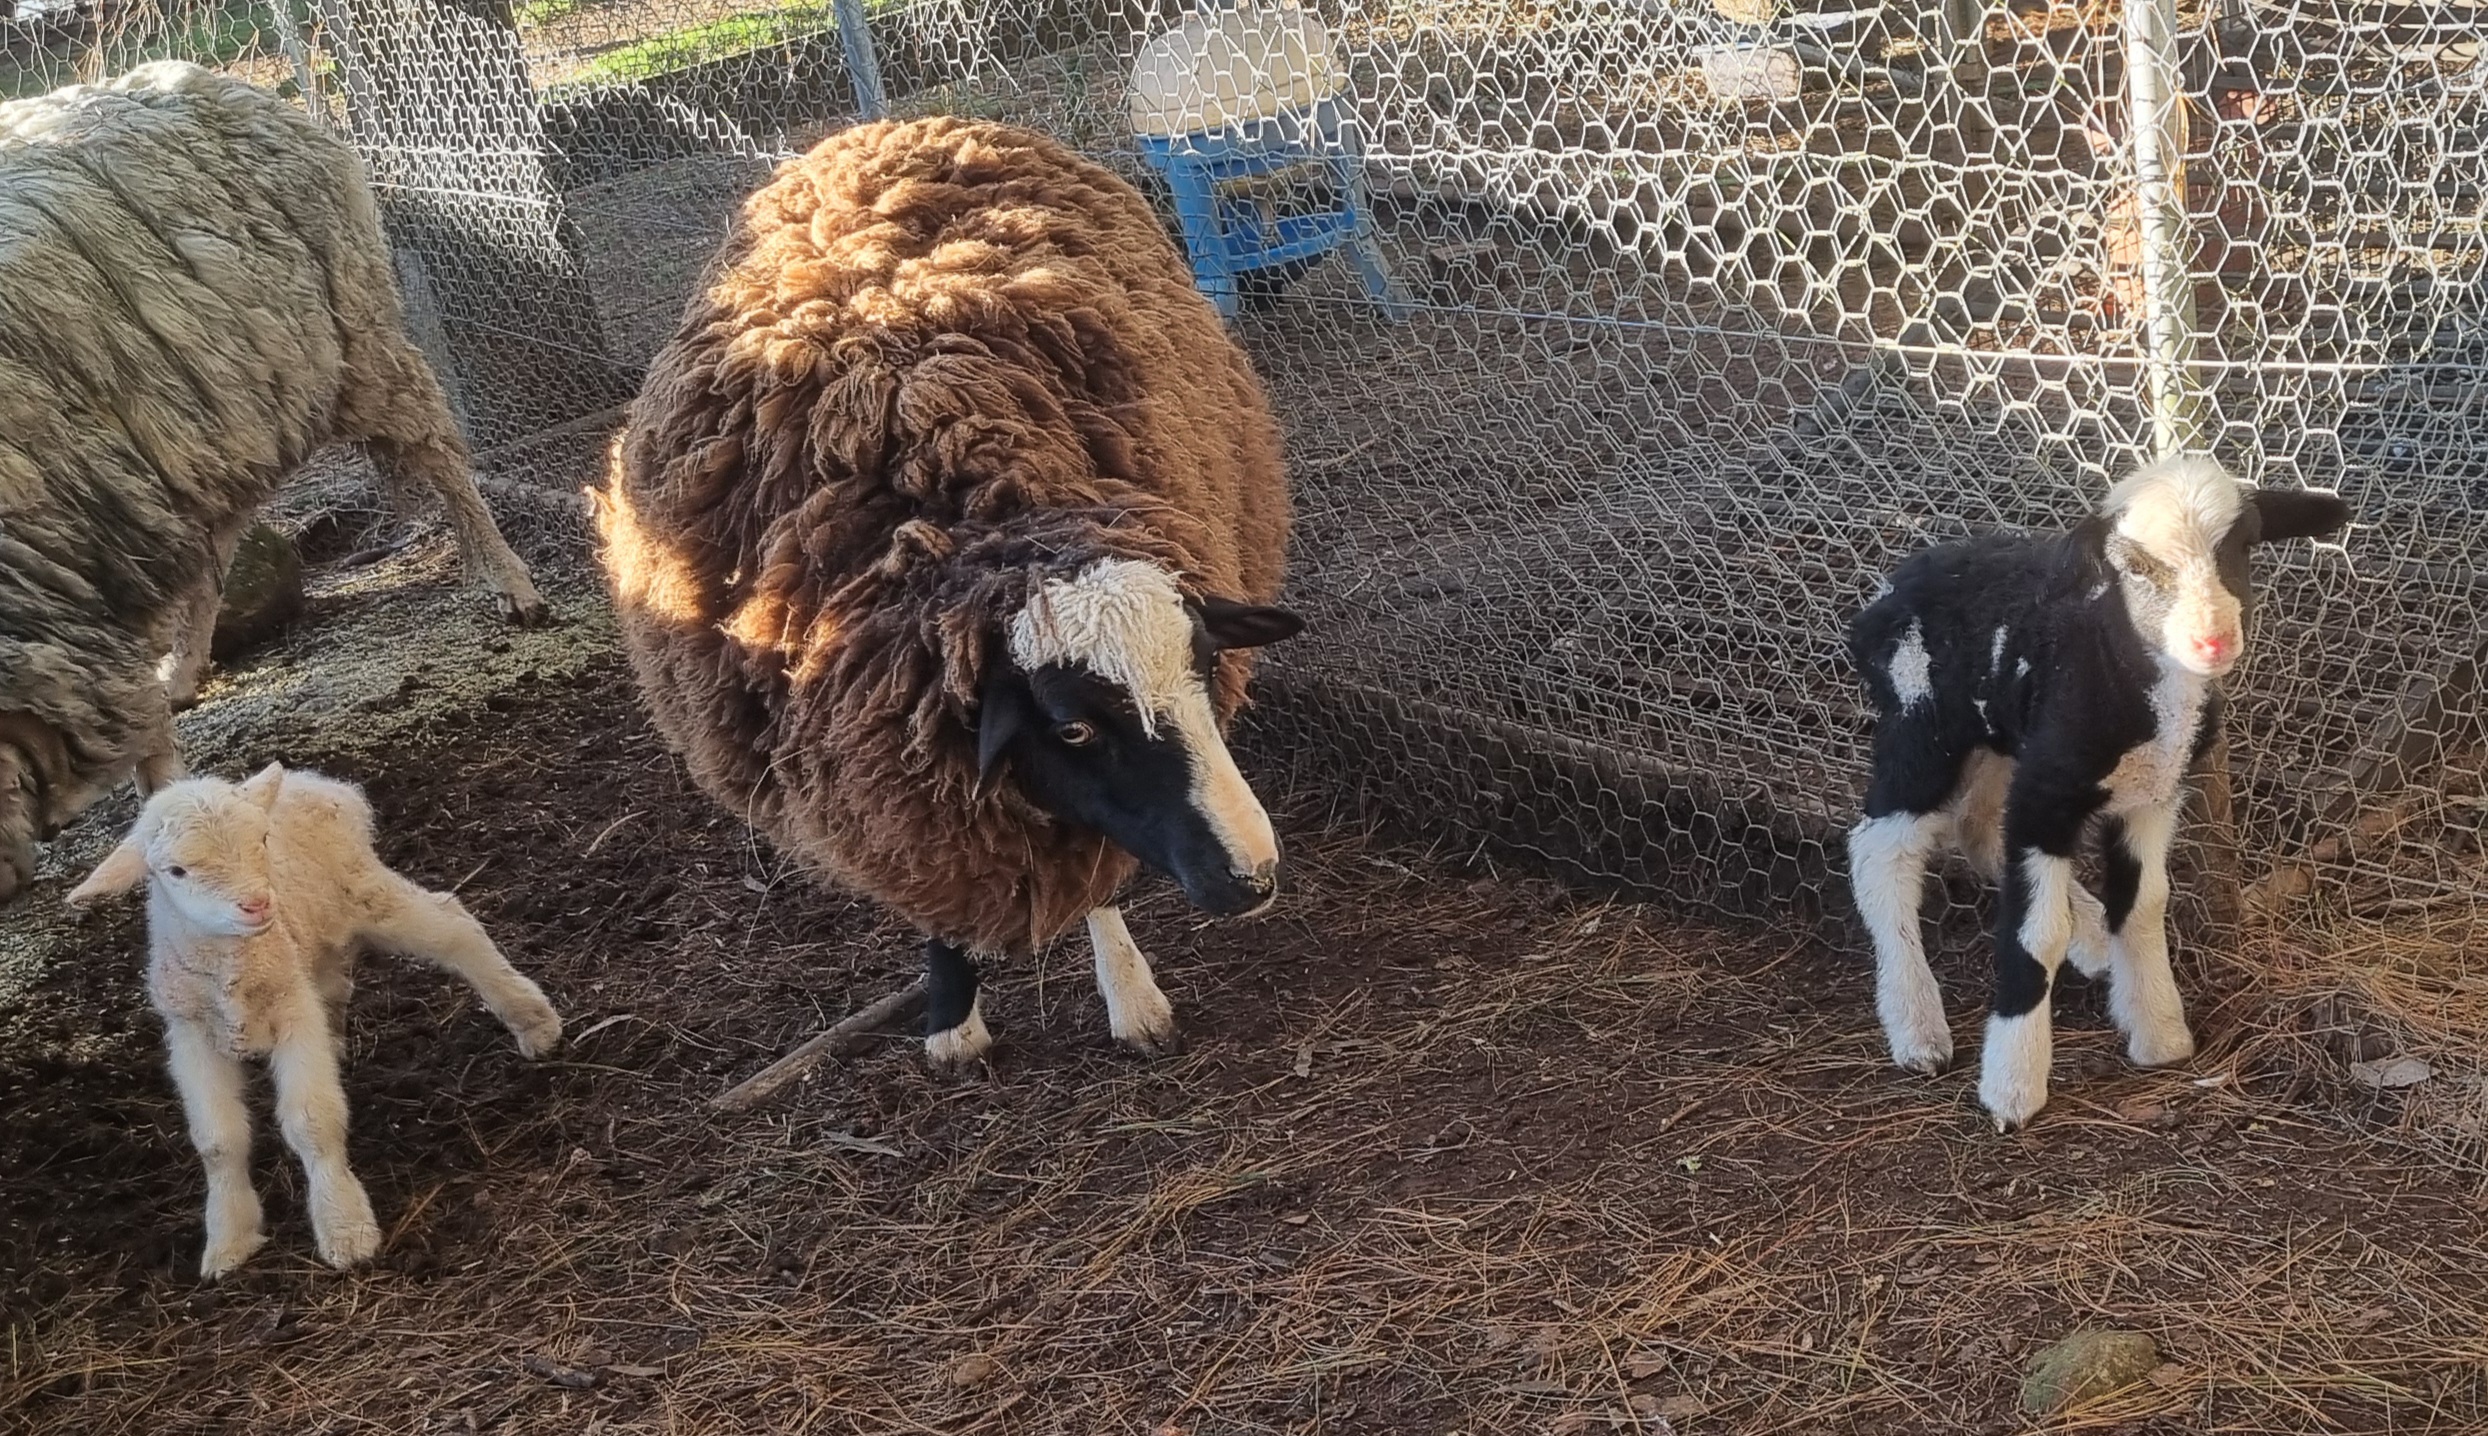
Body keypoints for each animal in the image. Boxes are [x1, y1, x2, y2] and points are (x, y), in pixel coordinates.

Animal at [0, 61, 547, 904]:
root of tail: (217, 81)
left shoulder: (85, 541)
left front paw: (159, 800)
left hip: (351, 333)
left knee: (437, 452)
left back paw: (511, 584)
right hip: (217, 411)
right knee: (217, 545)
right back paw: (183, 670)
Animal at [66, 762, 562, 1277]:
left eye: (262, 839)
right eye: (176, 871)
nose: (258, 904)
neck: (234, 968)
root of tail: (318, 783)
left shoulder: (294, 1009)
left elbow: (312, 1119)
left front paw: (344, 1226)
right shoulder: (190, 1033)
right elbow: (217, 1141)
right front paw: (229, 1240)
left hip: (362, 890)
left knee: (452, 924)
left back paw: (534, 1022)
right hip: (317, 939)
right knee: (337, 986)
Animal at [596, 116, 1304, 1067]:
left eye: (1202, 671)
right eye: (1074, 727)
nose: (1253, 877)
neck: (956, 499)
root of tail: (883, 124)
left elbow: (1087, 868)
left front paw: (1131, 997)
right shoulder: (881, 774)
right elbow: (944, 890)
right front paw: (951, 1019)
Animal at [1845, 457, 2351, 1131]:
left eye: (2244, 547)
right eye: (2133, 567)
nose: (2213, 641)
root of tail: (1890, 589)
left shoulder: (2149, 796)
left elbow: (2143, 904)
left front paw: (2160, 1033)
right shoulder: (2047, 796)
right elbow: (2035, 934)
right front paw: (2012, 1090)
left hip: (2005, 740)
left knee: (1979, 829)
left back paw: (2089, 940)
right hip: (1923, 725)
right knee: (1881, 852)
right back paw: (1917, 1025)